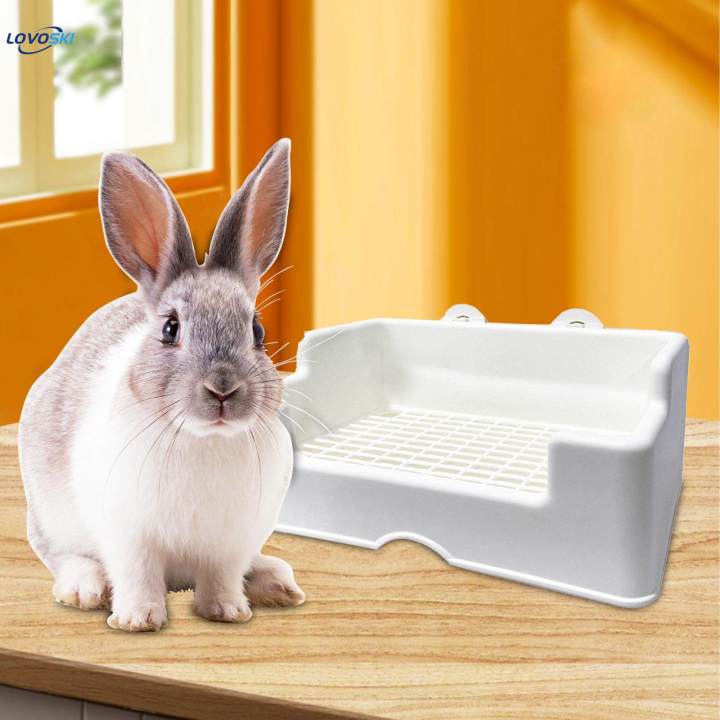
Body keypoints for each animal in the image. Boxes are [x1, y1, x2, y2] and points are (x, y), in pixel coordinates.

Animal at [18, 138, 305, 632]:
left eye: (257, 330)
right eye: (171, 329)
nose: (223, 389)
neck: (204, 439)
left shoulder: (230, 542)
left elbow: (222, 577)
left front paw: (228, 612)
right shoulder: (129, 536)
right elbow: (137, 575)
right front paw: (137, 620)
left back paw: (277, 584)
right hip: (50, 515)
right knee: (60, 554)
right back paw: (84, 589)